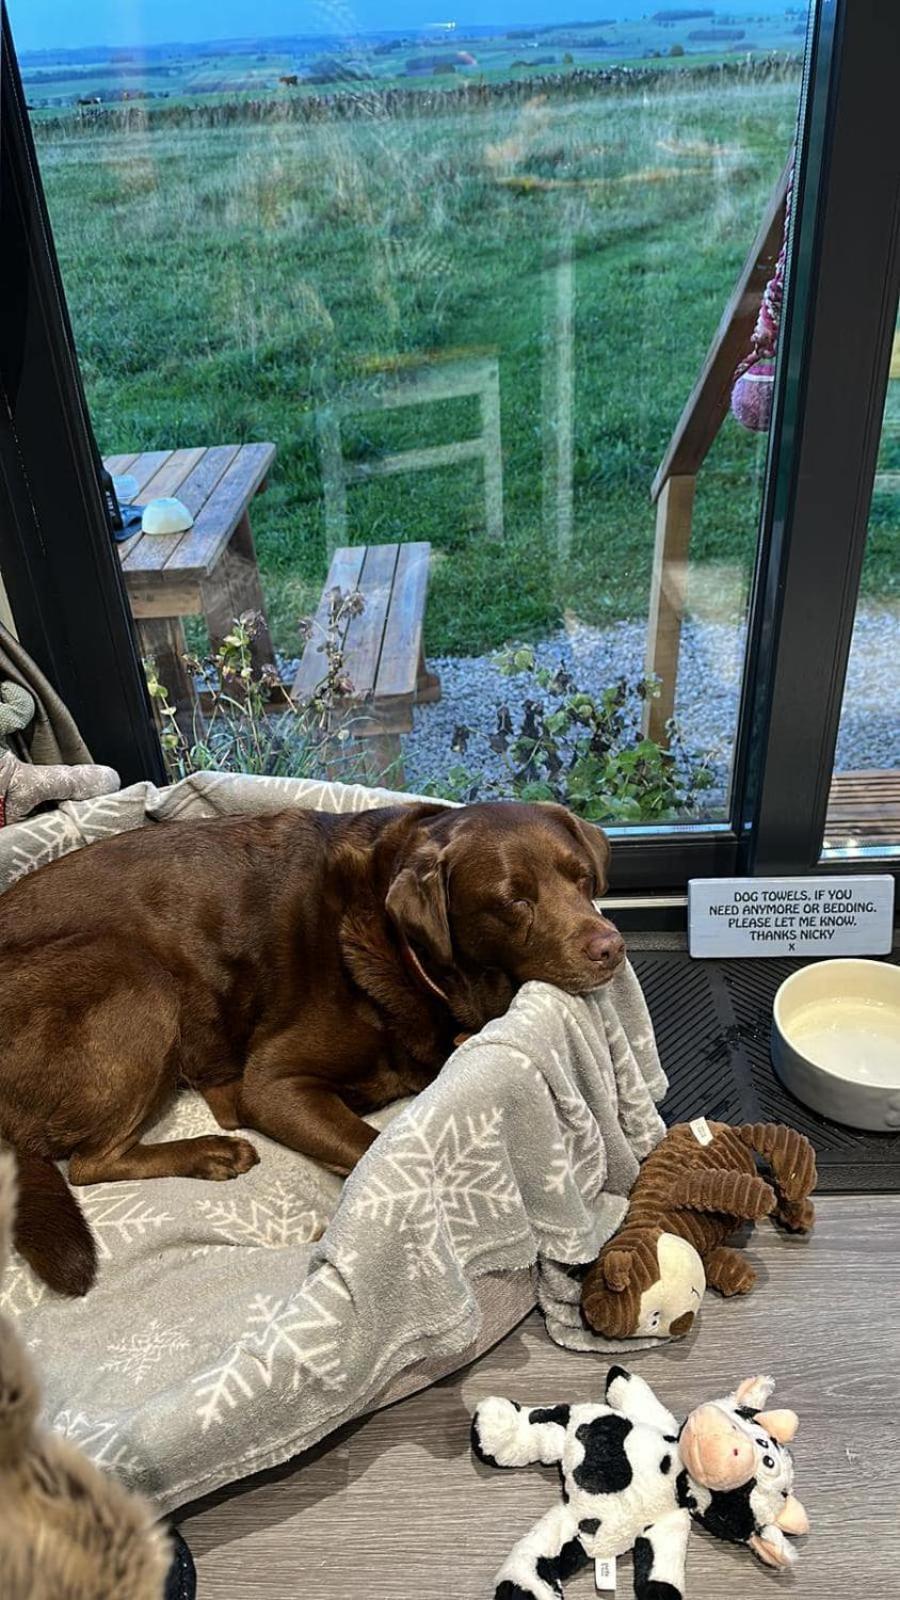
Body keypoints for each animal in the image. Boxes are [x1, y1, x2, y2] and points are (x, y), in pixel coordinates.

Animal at [0, 793, 621, 1292]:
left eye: (582, 880)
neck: (407, 952)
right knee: (88, 1164)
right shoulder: (275, 1083)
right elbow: (372, 1148)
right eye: (513, 901)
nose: (611, 947)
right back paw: (211, 1152)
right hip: (135, 972)